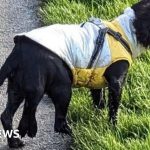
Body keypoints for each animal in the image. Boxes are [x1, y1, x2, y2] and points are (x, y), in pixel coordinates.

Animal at [0, 0, 150, 148]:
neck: (126, 32)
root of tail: (18, 51)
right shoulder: (116, 83)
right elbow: (113, 110)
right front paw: (113, 129)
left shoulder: (96, 83)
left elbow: (99, 103)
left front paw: (98, 121)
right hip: (59, 88)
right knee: (55, 122)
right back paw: (82, 134)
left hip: (16, 89)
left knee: (6, 116)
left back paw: (15, 142)